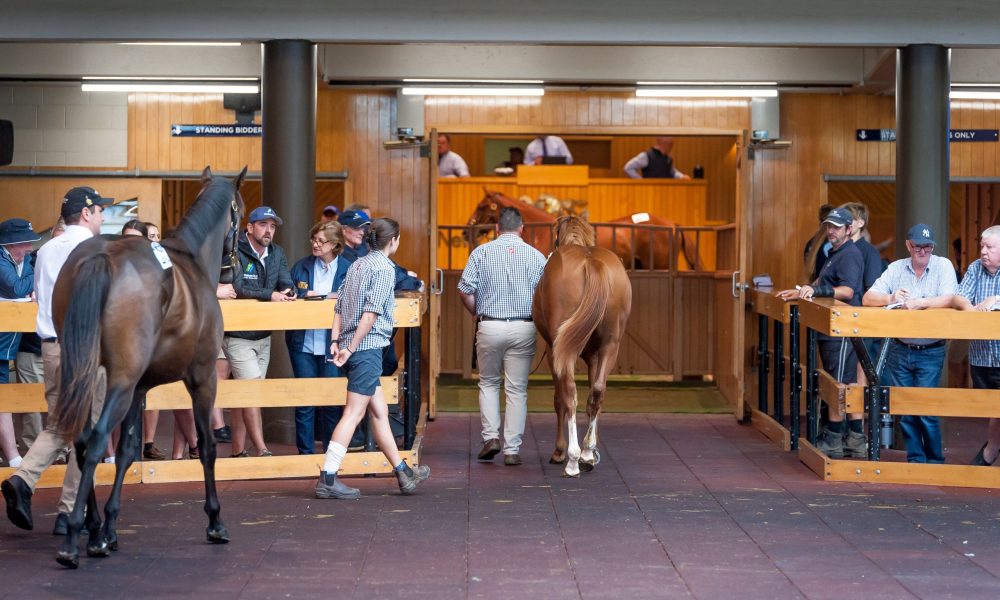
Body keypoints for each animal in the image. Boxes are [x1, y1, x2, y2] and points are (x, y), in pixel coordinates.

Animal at [48, 166, 245, 568]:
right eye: (241, 213)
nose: (233, 271)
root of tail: (104, 256)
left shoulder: (140, 386)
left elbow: (126, 451)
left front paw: (110, 529)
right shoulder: (203, 379)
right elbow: (207, 447)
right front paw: (215, 520)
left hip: (86, 374)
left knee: (81, 440)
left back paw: (93, 528)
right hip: (120, 383)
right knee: (94, 441)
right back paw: (73, 538)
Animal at [532, 216, 632, 477]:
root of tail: (591, 262)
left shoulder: (552, 351)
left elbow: (559, 399)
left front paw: (559, 452)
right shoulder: (594, 356)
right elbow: (592, 395)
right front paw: (591, 452)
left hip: (563, 351)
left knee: (569, 395)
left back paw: (572, 459)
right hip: (611, 345)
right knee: (597, 392)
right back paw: (587, 453)